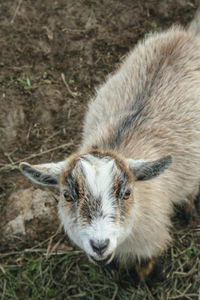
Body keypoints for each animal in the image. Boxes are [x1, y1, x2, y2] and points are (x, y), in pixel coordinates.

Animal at [19, 13, 200, 282]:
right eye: (67, 195)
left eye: (126, 193)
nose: (99, 245)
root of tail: (189, 36)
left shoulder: (149, 241)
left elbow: (146, 263)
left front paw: (146, 280)